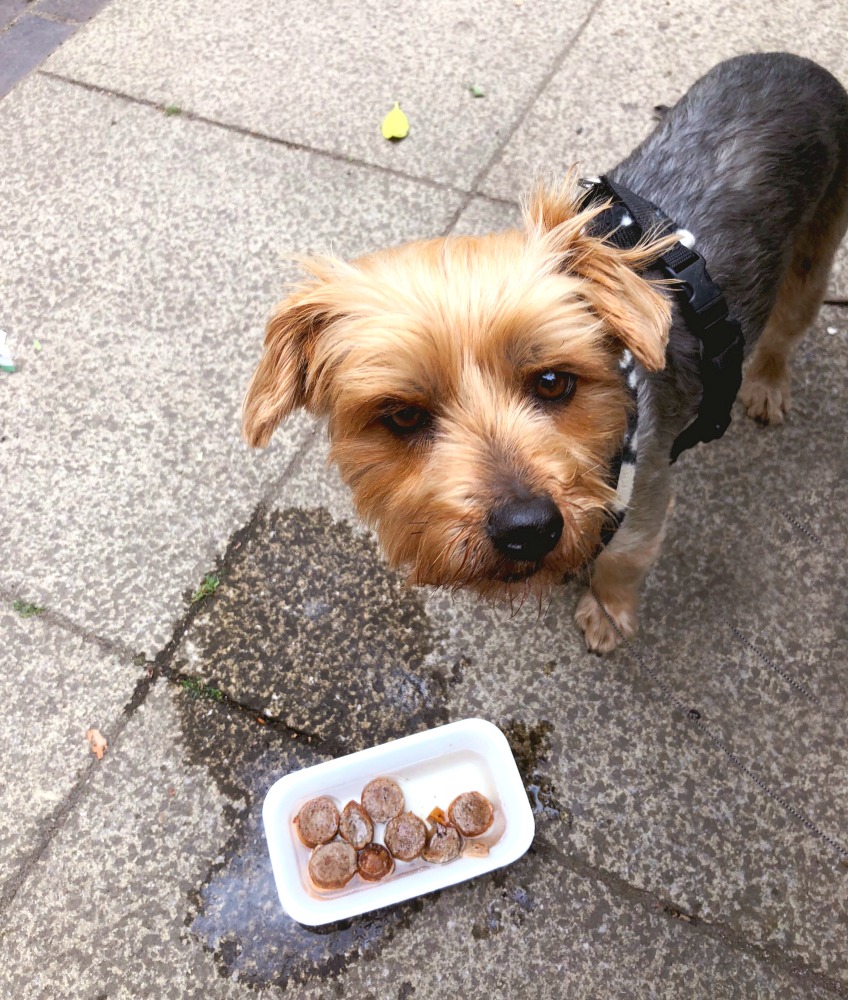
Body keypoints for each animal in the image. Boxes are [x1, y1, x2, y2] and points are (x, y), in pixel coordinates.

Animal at [238, 54, 848, 652]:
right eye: (404, 416)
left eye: (554, 382)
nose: (527, 528)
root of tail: (801, 64)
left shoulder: (645, 500)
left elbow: (624, 560)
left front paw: (606, 614)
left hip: (814, 254)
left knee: (787, 328)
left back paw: (767, 385)